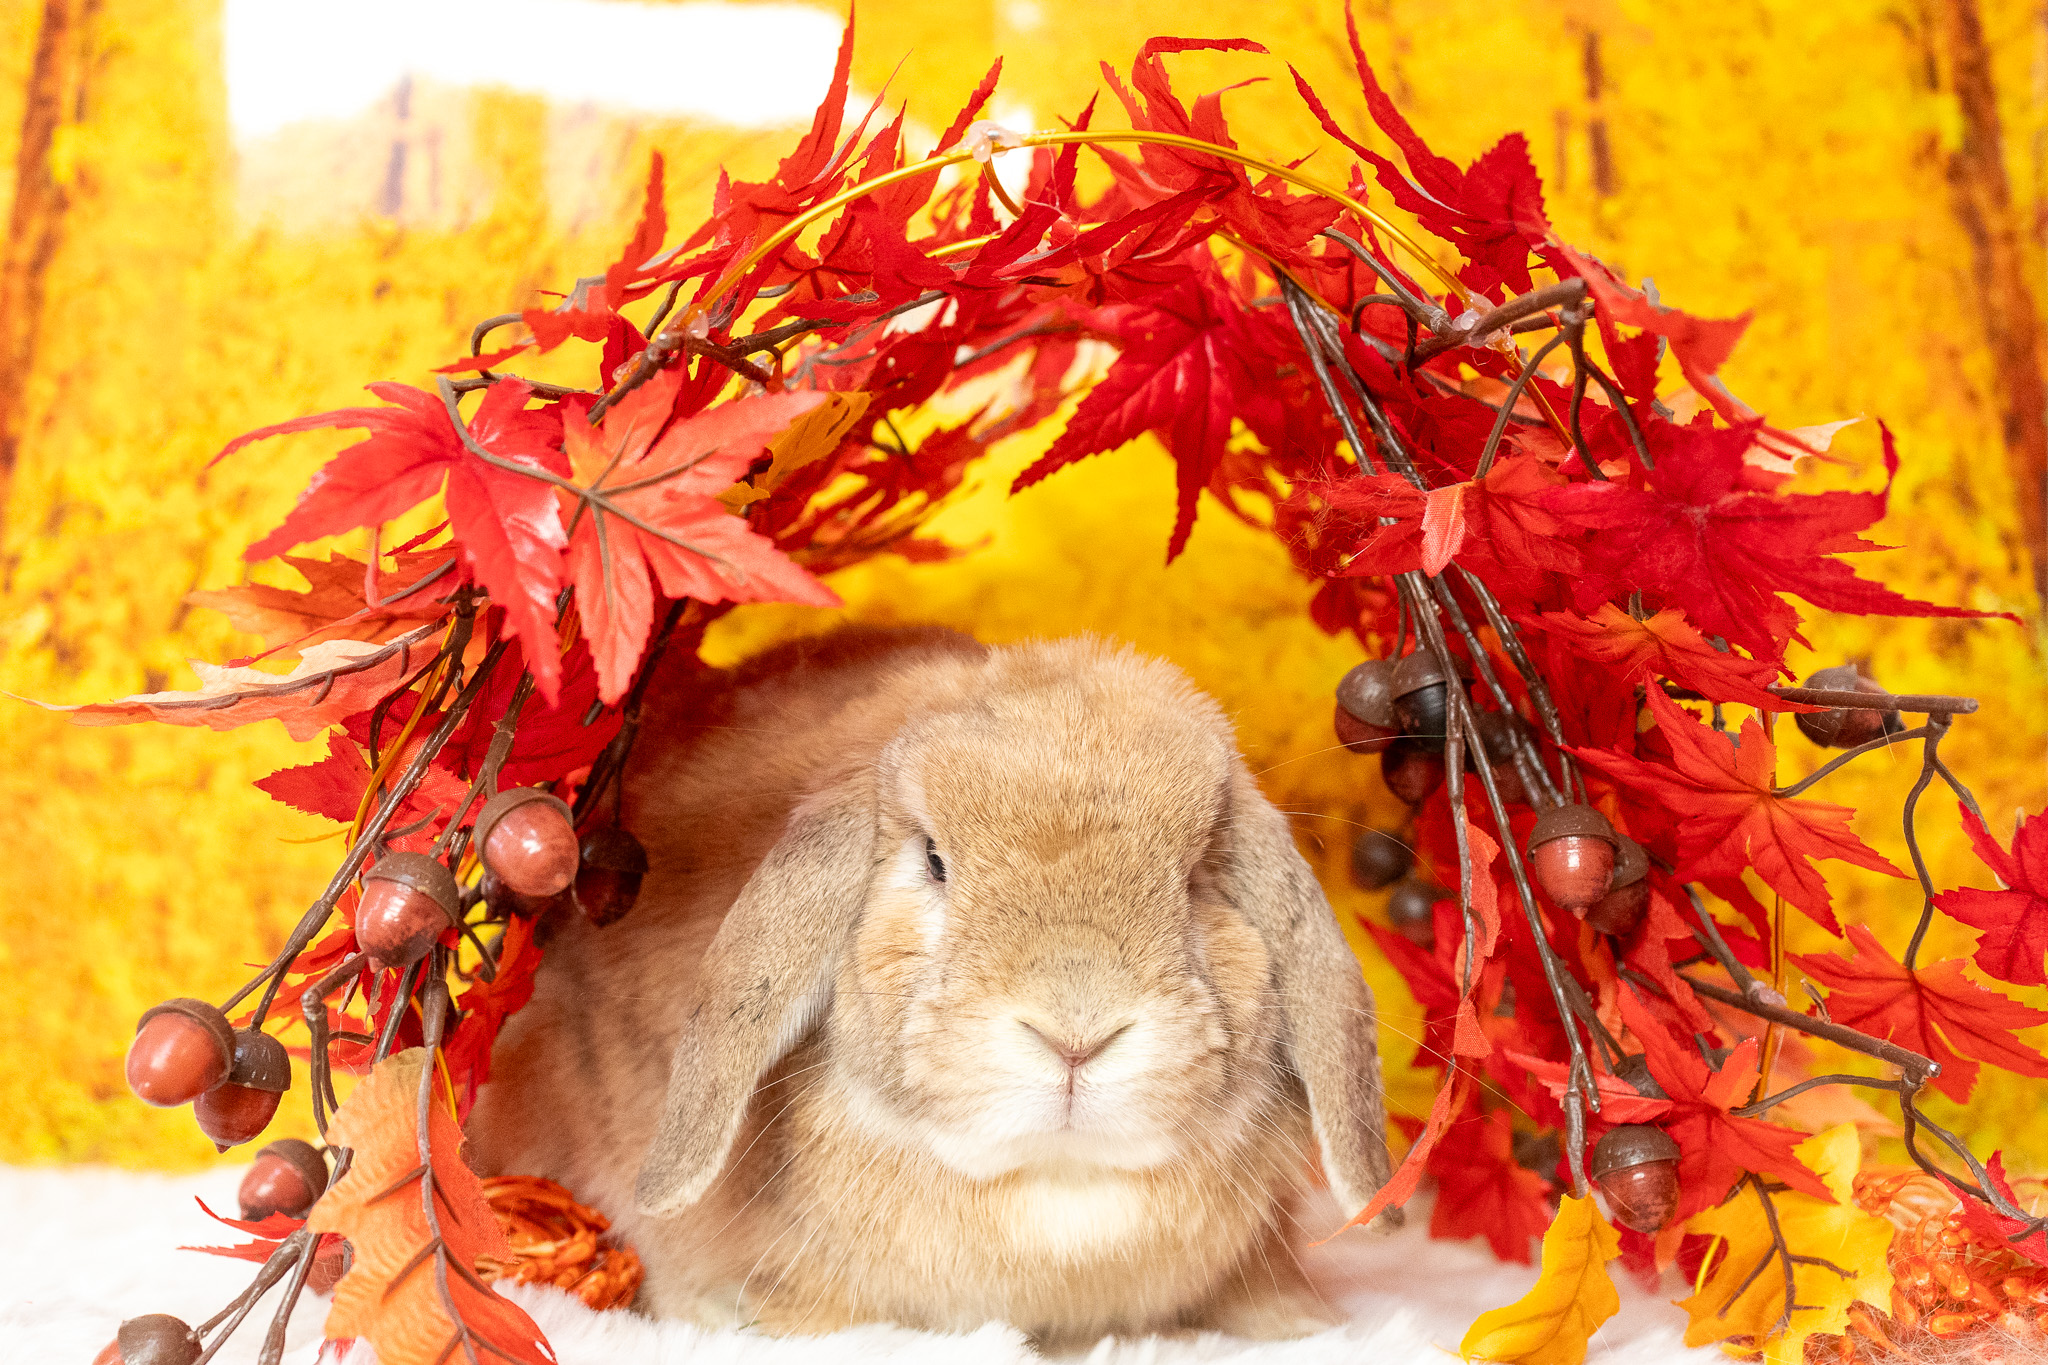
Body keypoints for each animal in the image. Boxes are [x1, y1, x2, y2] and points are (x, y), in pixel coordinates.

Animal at [465, 627, 1394, 1345]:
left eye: (1198, 878)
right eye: (936, 861)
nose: (1076, 1034)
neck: (1056, 1186)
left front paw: (1300, 1324)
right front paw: (732, 1309)